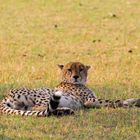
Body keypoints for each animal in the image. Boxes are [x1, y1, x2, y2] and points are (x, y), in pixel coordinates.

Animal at [0, 61, 139, 116]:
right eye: (69, 69)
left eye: (81, 69)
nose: (76, 76)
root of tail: (6, 96)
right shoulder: (89, 101)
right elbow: (114, 101)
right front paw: (133, 102)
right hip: (46, 95)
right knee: (41, 108)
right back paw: (65, 110)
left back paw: (65, 111)